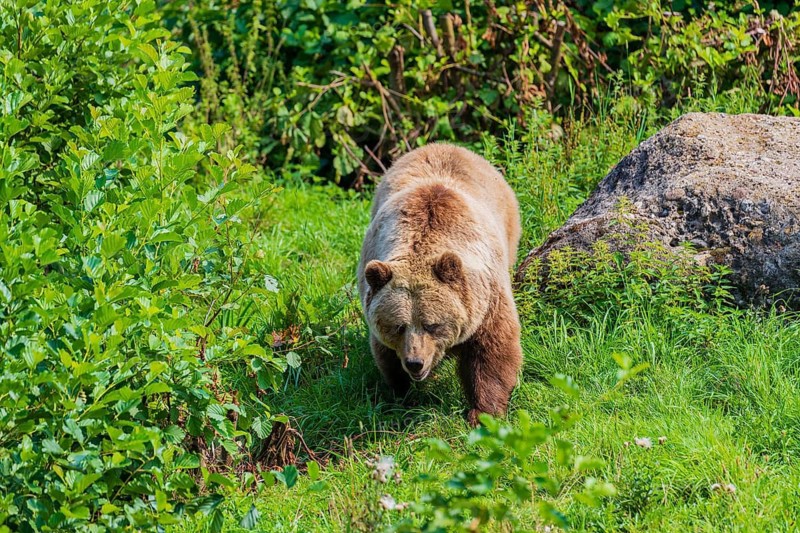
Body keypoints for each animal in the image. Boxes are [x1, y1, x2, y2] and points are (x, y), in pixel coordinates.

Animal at [357, 143, 523, 426]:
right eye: (398, 326)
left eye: (432, 325)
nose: (415, 363)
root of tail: (446, 145)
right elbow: (386, 355)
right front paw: (401, 394)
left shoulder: (486, 297)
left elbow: (493, 348)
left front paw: (484, 412)